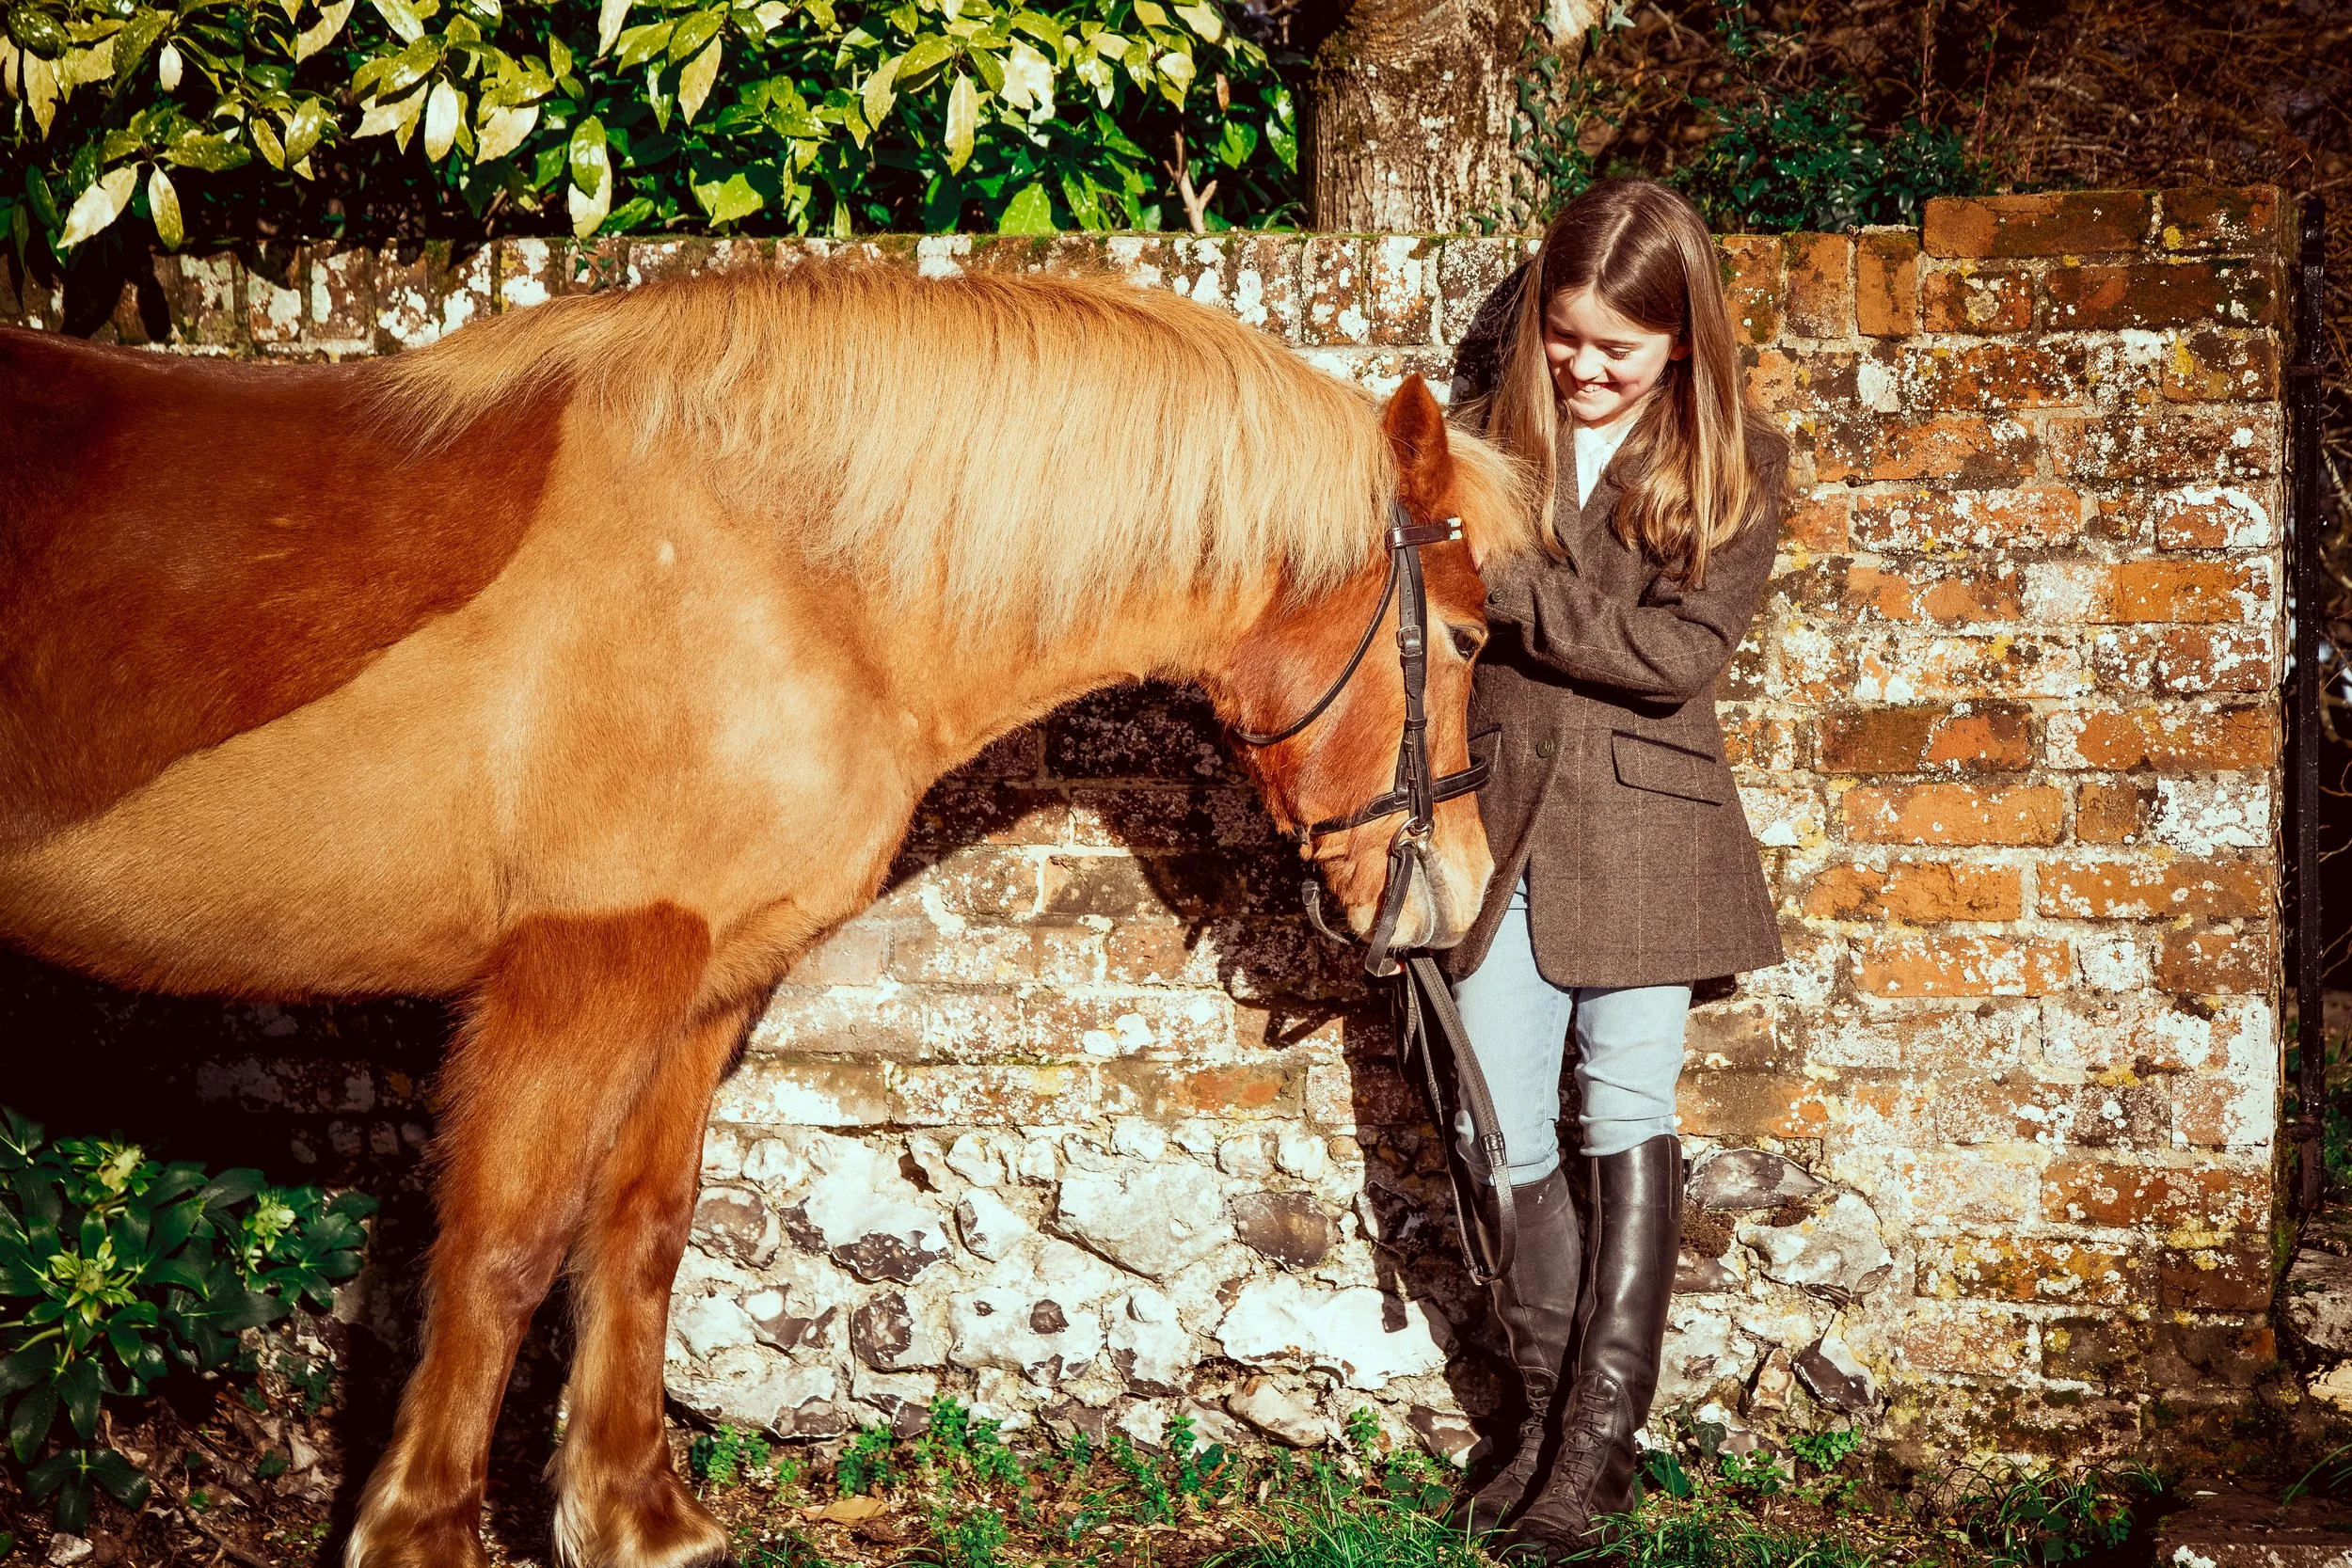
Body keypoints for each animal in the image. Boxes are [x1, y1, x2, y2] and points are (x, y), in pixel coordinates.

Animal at [0, 259, 1536, 1568]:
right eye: (1465, 636)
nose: (1461, 895)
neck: (779, 571)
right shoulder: (580, 973)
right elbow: (501, 1250)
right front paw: (424, 1533)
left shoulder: (699, 986)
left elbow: (642, 1230)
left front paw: (633, 1516)